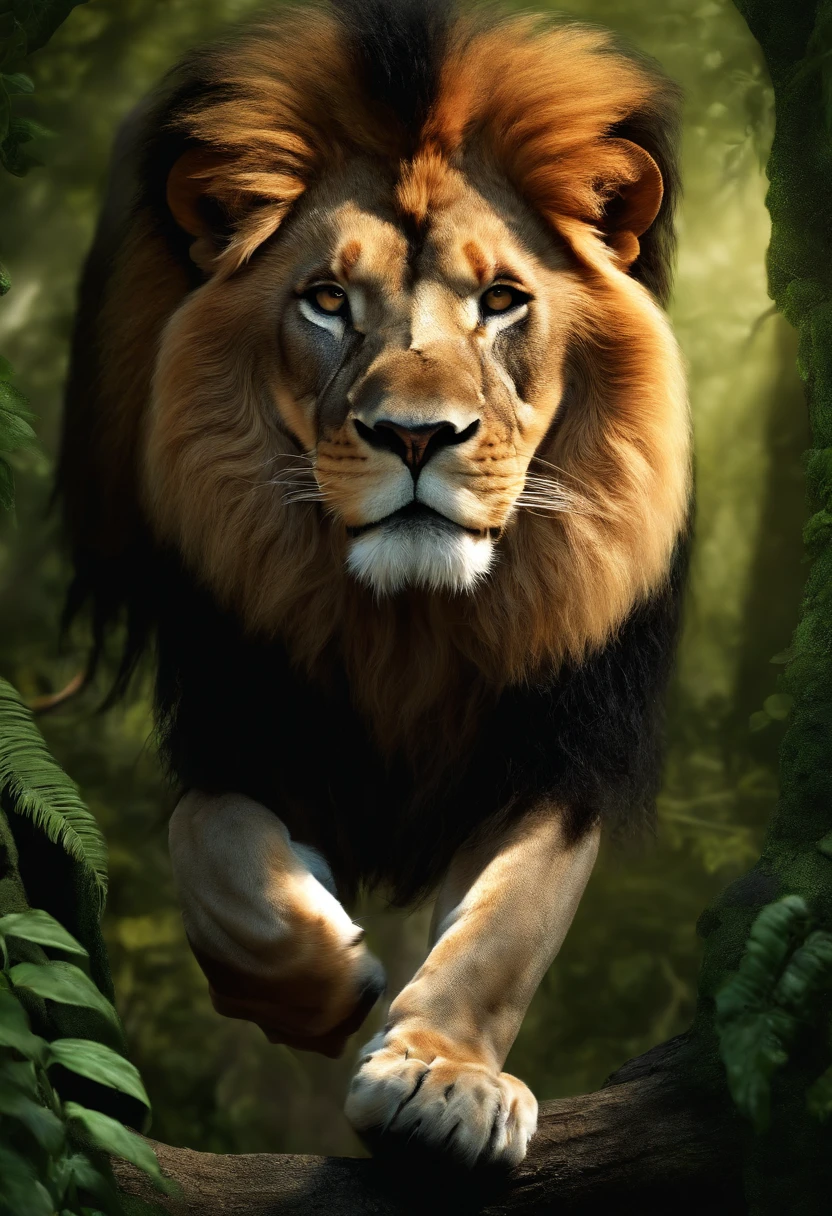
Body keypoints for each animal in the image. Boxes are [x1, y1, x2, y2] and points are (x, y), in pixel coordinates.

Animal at [57, 0, 690, 1168]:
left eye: (502, 301)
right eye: (324, 301)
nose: (415, 435)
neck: (408, 626)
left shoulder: (556, 746)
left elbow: (503, 928)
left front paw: (442, 1077)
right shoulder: (239, 715)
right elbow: (216, 849)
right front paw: (325, 971)